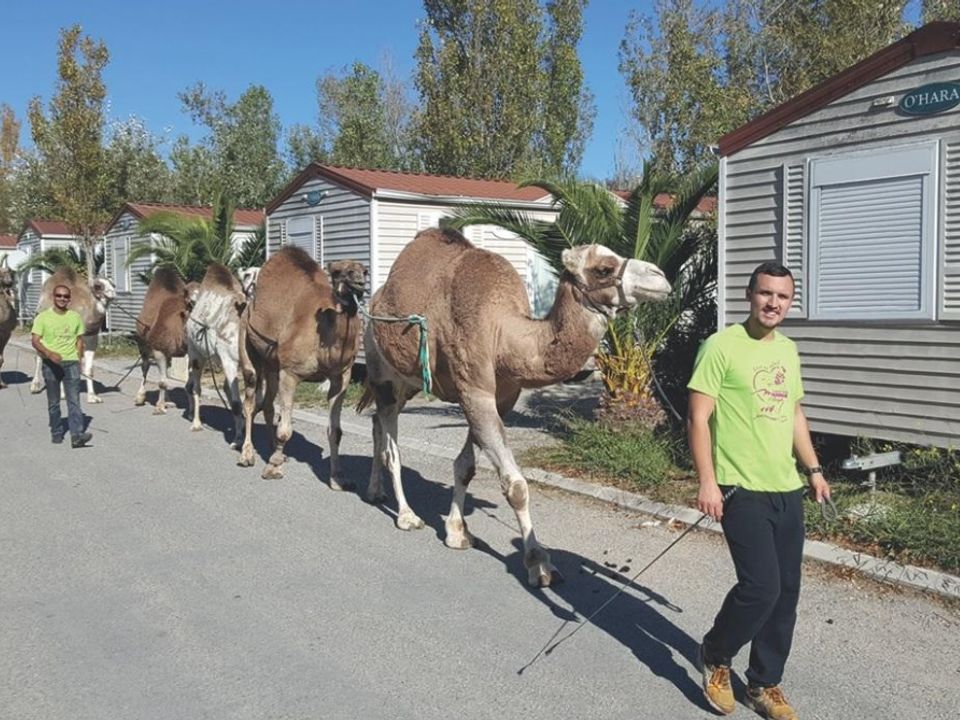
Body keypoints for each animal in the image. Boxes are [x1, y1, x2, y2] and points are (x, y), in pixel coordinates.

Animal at [30, 266, 117, 402]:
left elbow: (88, 368)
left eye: (113, 284)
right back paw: (35, 386)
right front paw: (63, 395)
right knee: (39, 355)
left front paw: (92, 397)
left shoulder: (91, 337)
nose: (113, 294)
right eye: (98, 286)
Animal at [135, 268, 195, 414]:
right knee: (145, 366)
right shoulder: (158, 350)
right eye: (191, 302)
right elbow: (162, 382)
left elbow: (189, 384)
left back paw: (168, 401)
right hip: (142, 343)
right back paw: (140, 397)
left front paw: (191, 411)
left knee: (165, 373)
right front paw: (159, 407)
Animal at [187, 262, 248, 444]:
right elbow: (237, 403)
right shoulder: (229, 360)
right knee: (195, 387)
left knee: (225, 387)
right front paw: (238, 439)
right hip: (196, 353)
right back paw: (196, 423)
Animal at [234, 246, 366, 484]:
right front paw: (273, 469)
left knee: (268, 403)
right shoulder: (290, 373)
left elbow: (336, 430)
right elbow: (285, 430)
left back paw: (272, 450)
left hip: (272, 365)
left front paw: (338, 477)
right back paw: (247, 455)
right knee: (249, 399)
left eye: (365, 271)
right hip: (246, 341)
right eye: (339, 272)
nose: (360, 283)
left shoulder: (341, 376)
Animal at [358, 228, 668, 588]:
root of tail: (373, 303)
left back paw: (375, 492)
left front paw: (457, 532)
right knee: (391, 443)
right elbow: (516, 485)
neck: (504, 337)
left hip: (407, 381)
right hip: (381, 370)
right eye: (604, 268)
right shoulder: (475, 391)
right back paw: (407, 516)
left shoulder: (500, 399)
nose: (660, 277)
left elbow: (466, 467)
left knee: (378, 423)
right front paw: (539, 564)